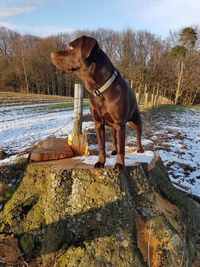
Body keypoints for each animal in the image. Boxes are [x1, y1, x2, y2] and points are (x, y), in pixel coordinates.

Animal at [50, 35, 143, 171]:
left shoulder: (120, 124)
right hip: (112, 126)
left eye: (71, 47)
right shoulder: (98, 123)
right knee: (114, 138)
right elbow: (101, 145)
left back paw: (140, 149)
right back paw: (113, 150)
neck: (100, 89)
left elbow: (122, 147)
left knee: (138, 134)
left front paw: (119, 164)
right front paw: (100, 162)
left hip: (135, 120)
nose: (51, 53)